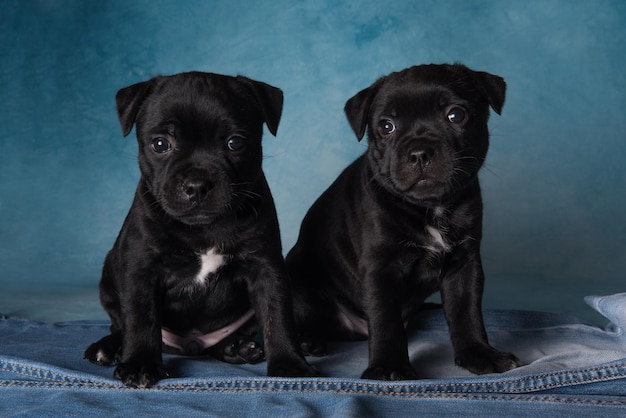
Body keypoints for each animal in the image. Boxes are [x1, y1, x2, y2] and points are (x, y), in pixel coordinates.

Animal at [83, 72, 316, 388]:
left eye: (235, 143)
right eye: (160, 144)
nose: (196, 184)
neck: (204, 228)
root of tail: (192, 346)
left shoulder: (267, 268)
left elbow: (276, 315)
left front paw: (289, 364)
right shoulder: (141, 268)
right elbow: (141, 319)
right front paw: (141, 363)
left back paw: (238, 348)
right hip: (109, 278)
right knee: (120, 325)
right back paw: (108, 348)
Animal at [288, 63, 520, 380]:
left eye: (456, 115)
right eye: (386, 126)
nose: (419, 152)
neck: (431, 207)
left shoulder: (465, 264)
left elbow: (467, 312)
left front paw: (479, 353)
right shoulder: (381, 269)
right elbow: (386, 320)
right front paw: (389, 366)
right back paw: (308, 342)